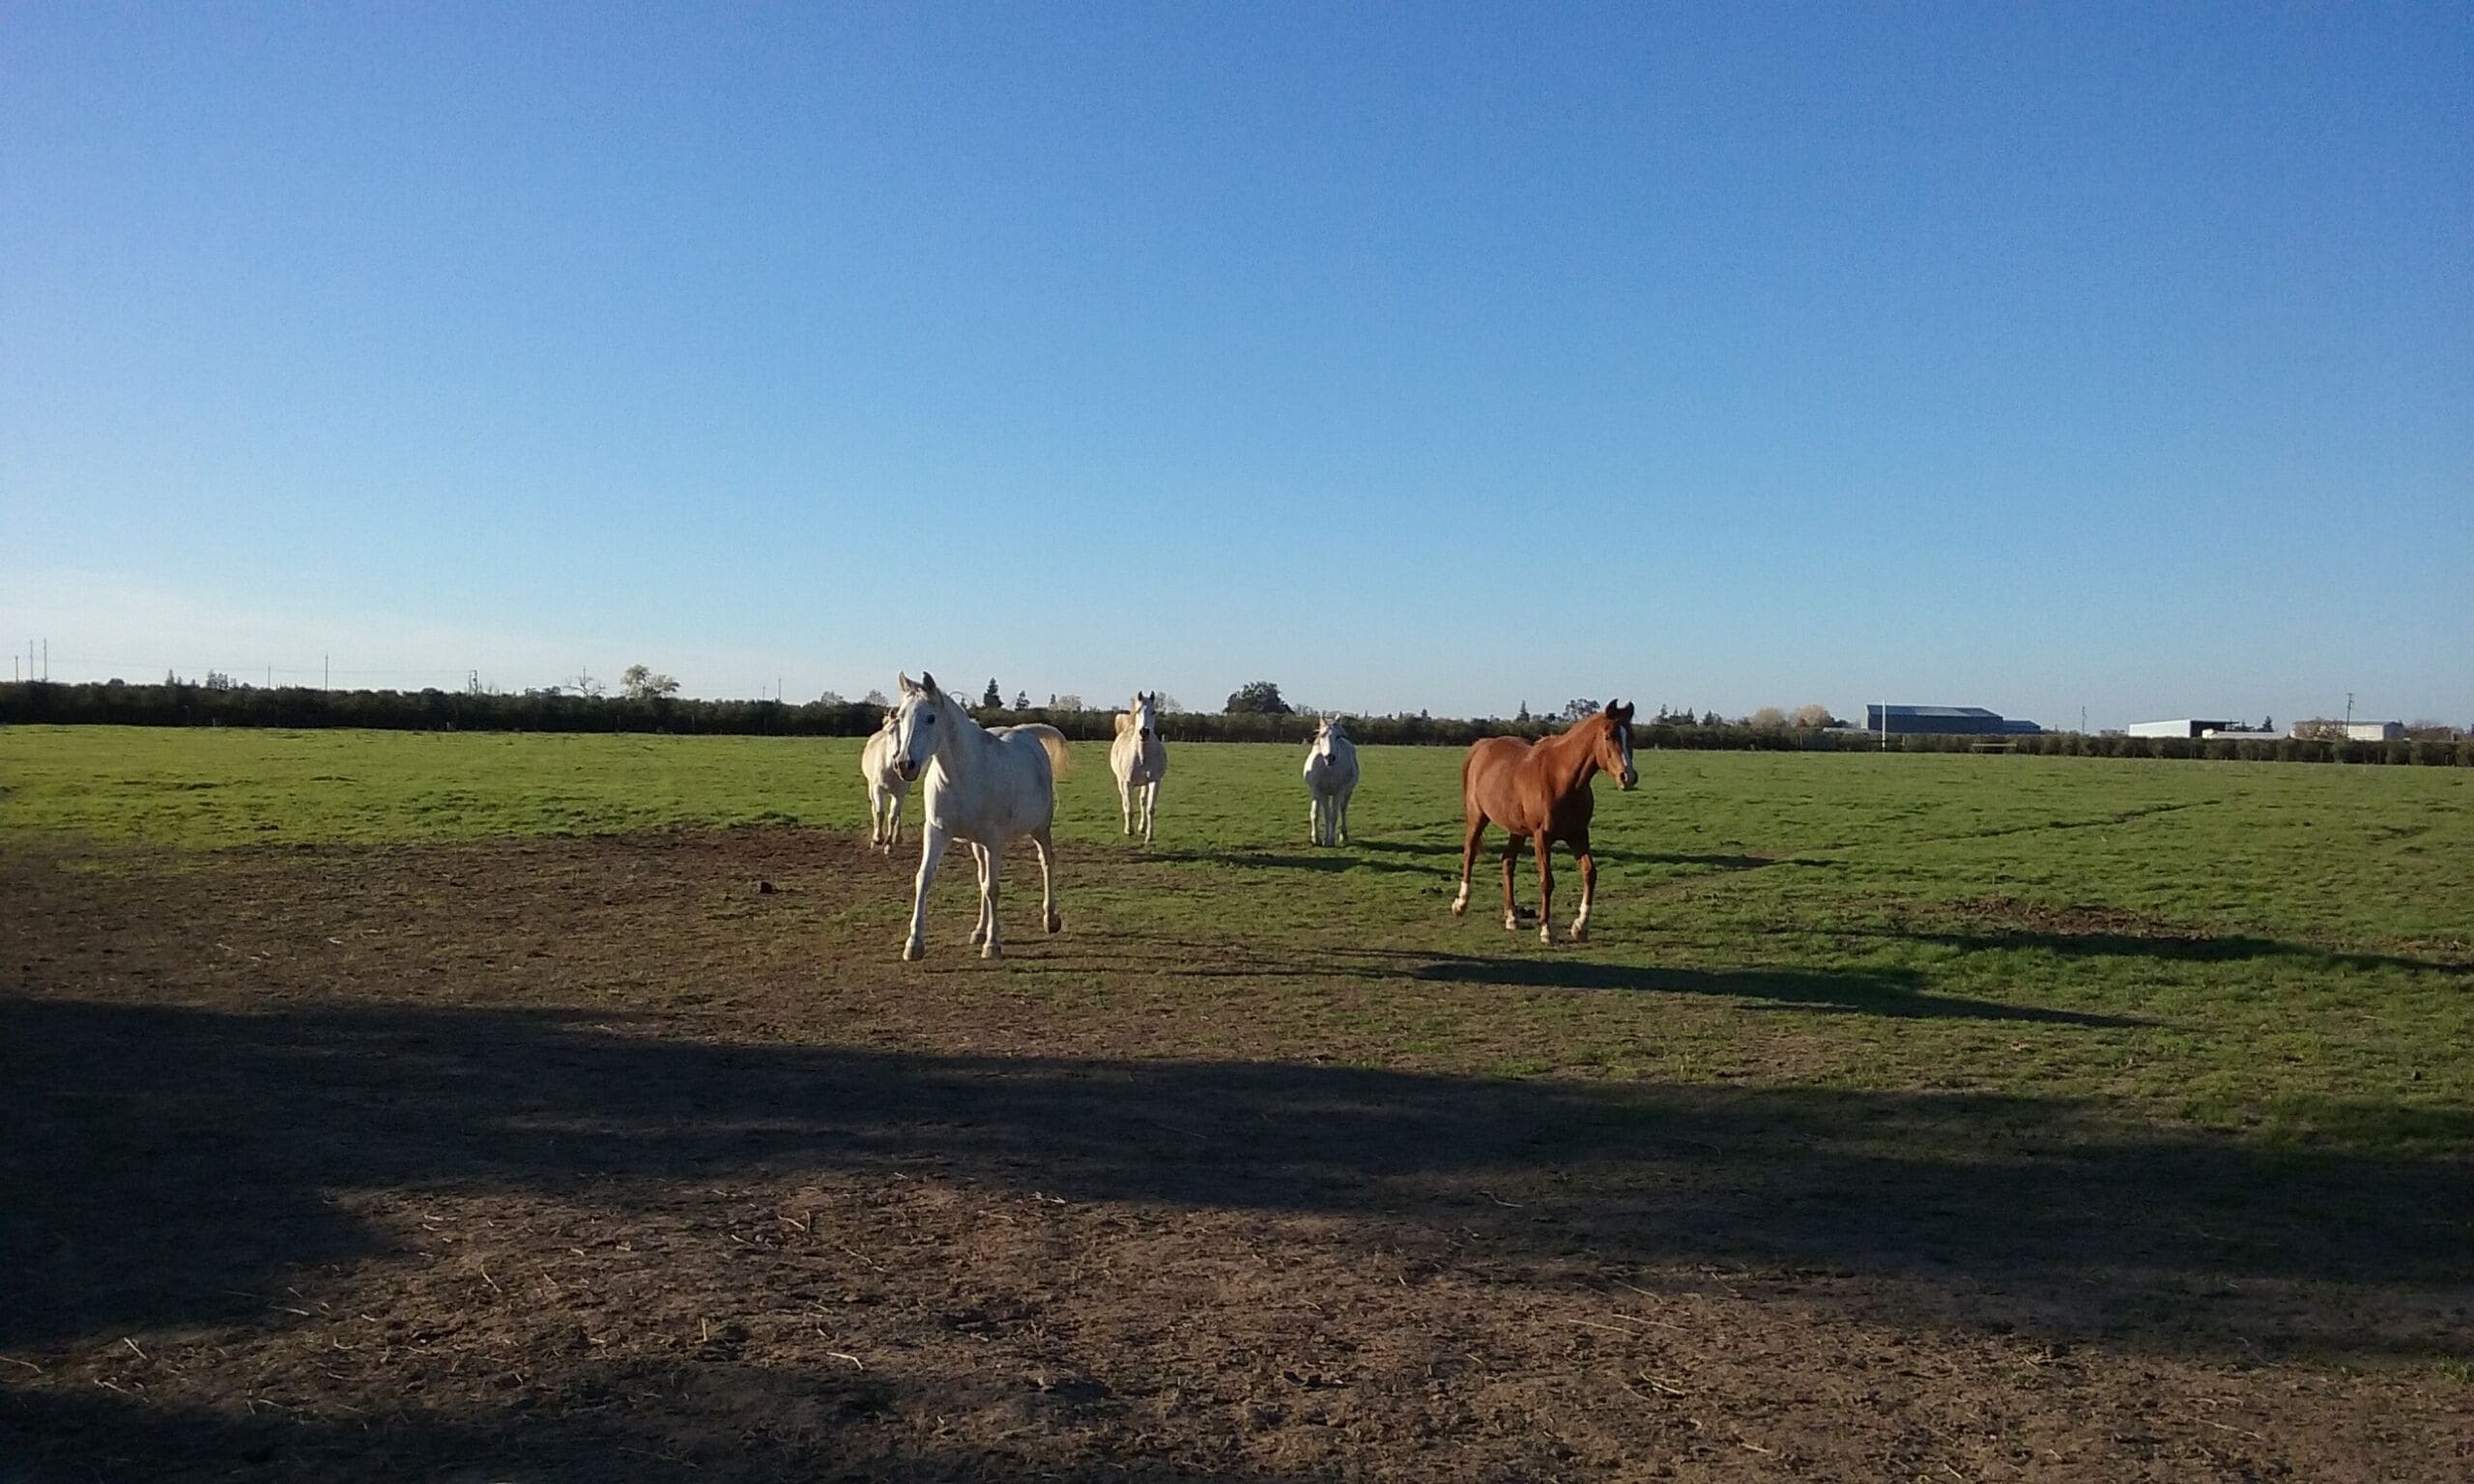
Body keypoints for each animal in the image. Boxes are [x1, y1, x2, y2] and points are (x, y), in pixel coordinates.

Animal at [859, 710, 908, 853]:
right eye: (891, 732)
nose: (898, 757)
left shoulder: (899, 793)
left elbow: (893, 816)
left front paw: (889, 844)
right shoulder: (878, 789)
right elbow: (880, 813)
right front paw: (878, 839)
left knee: (898, 812)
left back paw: (897, 837)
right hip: (871, 788)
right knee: (874, 808)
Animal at [887, 672, 1069, 960]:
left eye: (931, 717)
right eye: (899, 716)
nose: (904, 764)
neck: (962, 775)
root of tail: (1025, 733)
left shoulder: (994, 840)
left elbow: (993, 887)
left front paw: (993, 945)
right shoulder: (936, 831)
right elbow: (924, 878)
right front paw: (914, 944)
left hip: (1040, 828)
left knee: (1047, 862)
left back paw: (1050, 919)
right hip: (977, 844)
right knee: (982, 877)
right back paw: (979, 931)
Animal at [1108, 691, 1169, 843]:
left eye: (1154, 711)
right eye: (1137, 711)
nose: (1144, 732)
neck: (1141, 755)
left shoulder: (1154, 781)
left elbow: (1150, 808)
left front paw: (1149, 835)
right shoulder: (1127, 782)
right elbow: (1129, 808)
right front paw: (1129, 831)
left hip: (1144, 784)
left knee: (1143, 801)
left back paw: (1142, 826)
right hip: (1121, 781)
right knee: (1125, 800)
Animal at [1303, 714, 1359, 846]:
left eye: (1338, 736)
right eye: (1322, 735)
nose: (1330, 758)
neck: (1327, 768)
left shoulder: (1338, 792)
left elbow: (1334, 816)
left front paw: (1330, 840)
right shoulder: (1318, 791)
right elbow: (1317, 814)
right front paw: (1316, 839)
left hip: (1347, 792)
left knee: (1343, 810)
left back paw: (1344, 835)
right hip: (1325, 794)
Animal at [1452, 701, 1636, 942]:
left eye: (1631, 736)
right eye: (1608, 736)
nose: (1628, 777)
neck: (1560, 778)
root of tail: (1482, 745)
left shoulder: (1578, 834)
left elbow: (1590, 873)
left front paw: (1580, 926)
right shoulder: (1542, 837)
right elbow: (1546, 881)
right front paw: (1546, 929)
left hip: (1517, 830)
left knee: (1507, 862)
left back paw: (1512, 917)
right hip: (1477, 817)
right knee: (1470, 854)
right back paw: (1461, 904)